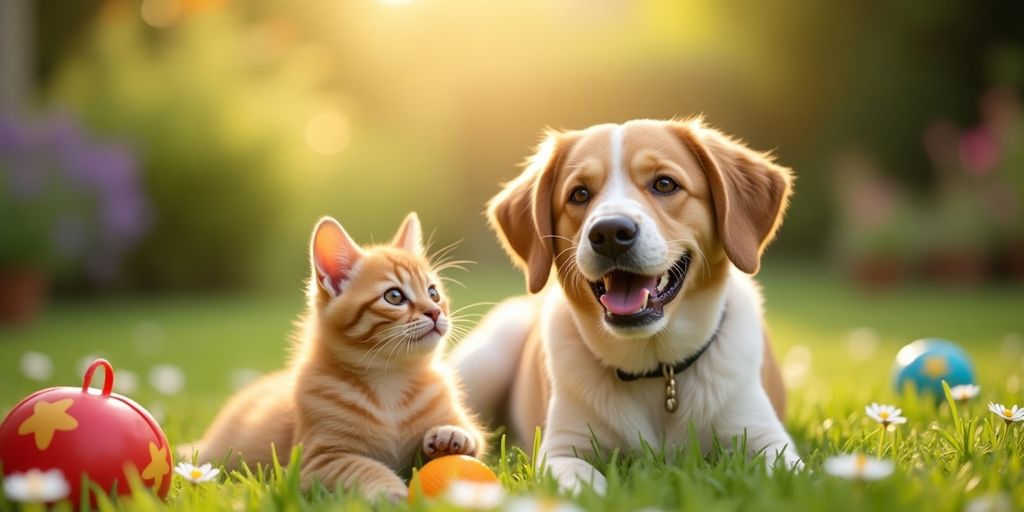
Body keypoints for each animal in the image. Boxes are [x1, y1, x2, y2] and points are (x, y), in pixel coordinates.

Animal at [192, 211, 487, 499]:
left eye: (433, 293)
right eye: (394, 296)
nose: (435, 312)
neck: (391, 378)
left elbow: (473, 439)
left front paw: (450, 435)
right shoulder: (318, 461)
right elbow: (365, 467)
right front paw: (392, 493)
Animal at [454, 117, 798, 491]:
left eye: (665, 184)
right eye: (579, 194)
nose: (609, 233)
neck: (655, 369)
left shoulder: (767, 441)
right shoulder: (560, 451)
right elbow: (586, 482)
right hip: (483, 362)